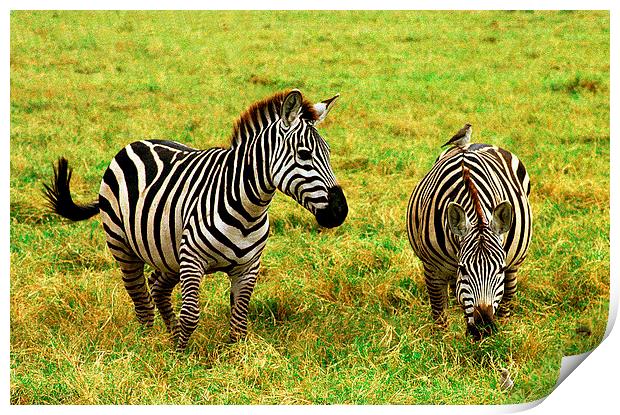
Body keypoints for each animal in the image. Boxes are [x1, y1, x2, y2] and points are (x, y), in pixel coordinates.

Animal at [43, 88, 348, 352]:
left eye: (329, 153)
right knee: (140, 299)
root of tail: (136, 143)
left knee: (157, 287)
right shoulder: (192, 260)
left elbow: (239, 318)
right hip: (123, 245)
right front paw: (180, 360)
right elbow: (191, 313)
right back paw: (148, 343)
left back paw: (170, 334)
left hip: (167, 252)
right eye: (304, 154)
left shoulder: (248, 267)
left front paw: (234, 358)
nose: (340, 211)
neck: (248, 208)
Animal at [406, 142, 532, 338]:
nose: (484, 327)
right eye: (463, 269)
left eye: (500, 269)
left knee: (508, 296)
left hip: (515, 263)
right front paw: (440, 341)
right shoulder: (432, 268)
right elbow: (439, 312)